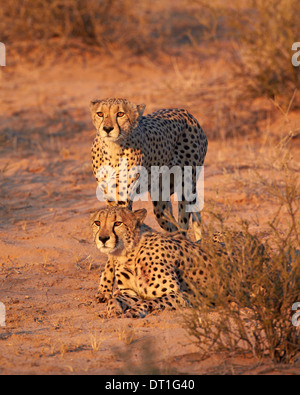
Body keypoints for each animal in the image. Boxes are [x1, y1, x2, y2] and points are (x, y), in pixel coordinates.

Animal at [89, 97, 206, 240]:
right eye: (100, 114)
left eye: (120, 114)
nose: (107, 128)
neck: (113, 147)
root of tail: (186, 113)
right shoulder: (110, 196)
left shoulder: (123, 196)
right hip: (160, 198)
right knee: (170, 223)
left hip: (186, 184)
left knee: (183, 222)